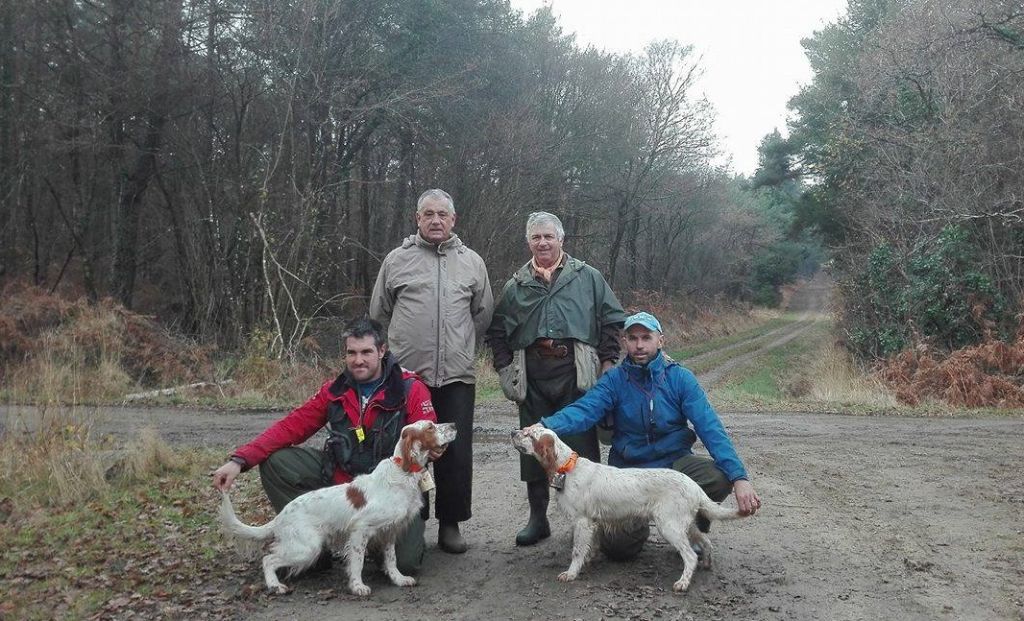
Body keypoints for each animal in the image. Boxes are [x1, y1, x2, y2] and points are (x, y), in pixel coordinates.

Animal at [220, 420, 456, 594]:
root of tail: (281, 516)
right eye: (430, 427)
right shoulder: (361, 530)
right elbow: (357, 561)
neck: (403, 472)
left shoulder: (389, 531)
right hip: (307, 547)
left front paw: (398, 579)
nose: (454, 425)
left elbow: (391, 559)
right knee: (269, 559)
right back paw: (275, 585)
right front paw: (358, 586)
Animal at [509, 428, 745, 594]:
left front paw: (571, 573)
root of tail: (694, 486)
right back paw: (707, 563)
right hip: (685, 525)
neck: (568, 467)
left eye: (529, 434)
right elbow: (590, 547)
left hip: (669, 526)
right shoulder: (593, 522)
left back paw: (683, 583)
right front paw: (588, 560)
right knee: (706, 542)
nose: (513, 432)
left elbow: (576, 551)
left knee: (690, 556)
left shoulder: (582, 521)